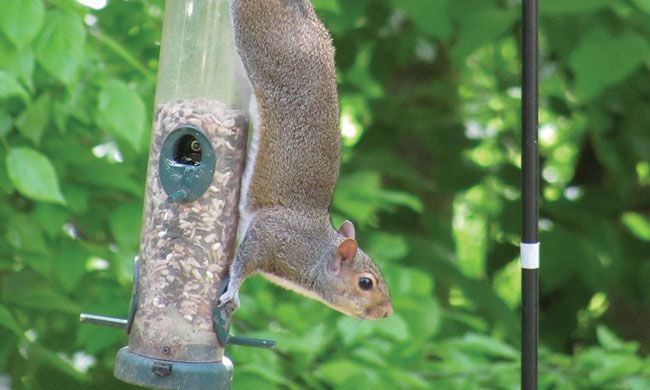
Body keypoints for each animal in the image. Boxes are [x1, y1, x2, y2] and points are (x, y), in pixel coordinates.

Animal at [216, 0, 390, 320]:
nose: (387, 312)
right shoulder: (270, 236)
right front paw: (232, 292)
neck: (316, 252)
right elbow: (242, 264)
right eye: (365, 283)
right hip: (260, 40)